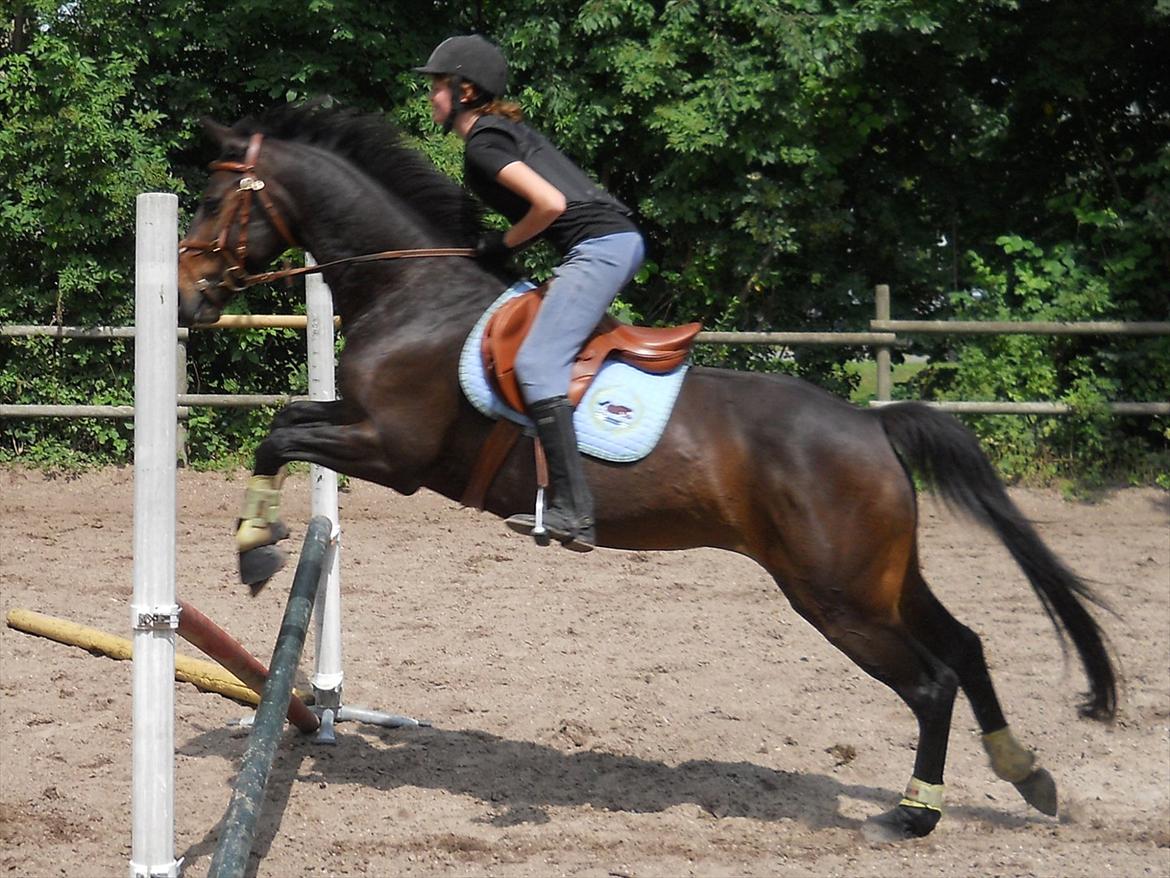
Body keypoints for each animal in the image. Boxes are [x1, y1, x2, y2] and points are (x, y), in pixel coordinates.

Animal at [173, 104, 1113, 847]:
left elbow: (279, 432)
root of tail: (872, 424)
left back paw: (916, 813)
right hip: (879, 577)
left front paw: (256, 549)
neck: (413, 293)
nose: (184, 300)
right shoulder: (362, 429)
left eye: (215, 202)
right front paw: (257, 544)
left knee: (930, 679)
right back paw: (1025, 773)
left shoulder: (391, 451)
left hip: (835, 594)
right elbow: (285, 422)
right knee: (966, 644)